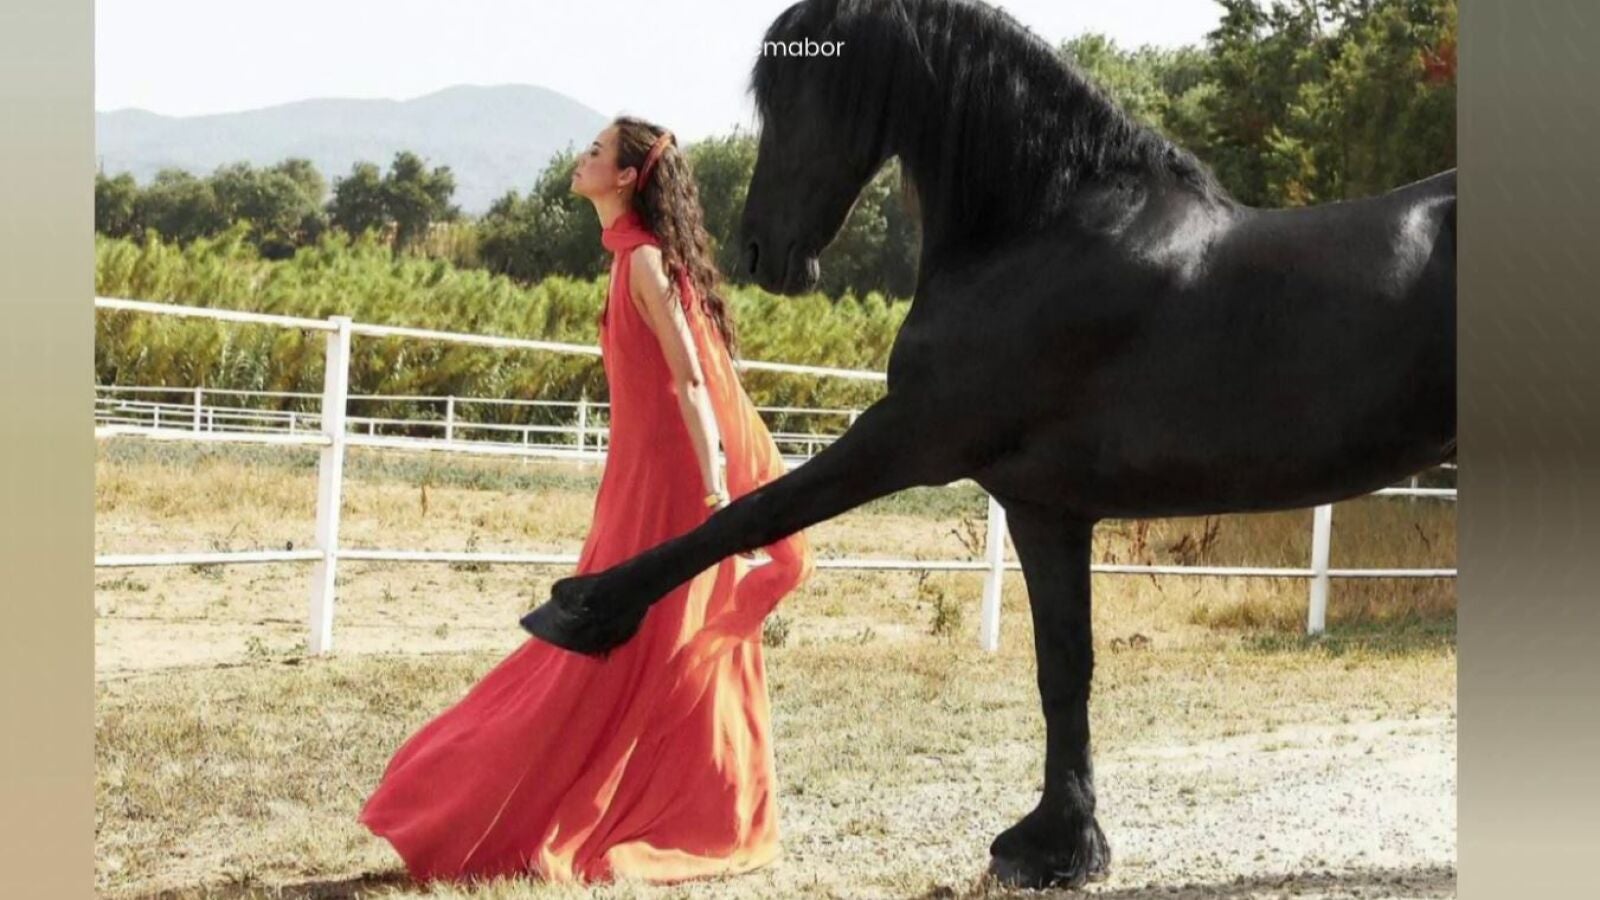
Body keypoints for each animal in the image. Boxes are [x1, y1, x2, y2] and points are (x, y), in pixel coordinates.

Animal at [522, 0, 1456, 888]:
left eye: (798, 87)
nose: (762, 251)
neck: (1042, 232)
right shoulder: (1047, 507)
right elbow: (1064, 667)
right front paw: (1061, 845)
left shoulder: (913, 436)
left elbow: (752, 512)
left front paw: (583, 608)